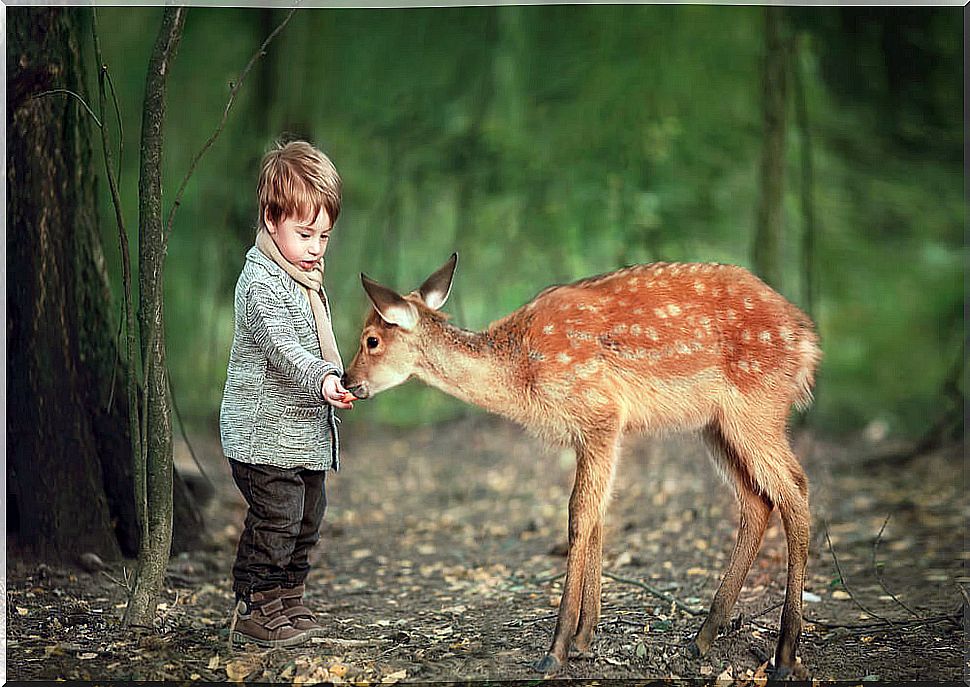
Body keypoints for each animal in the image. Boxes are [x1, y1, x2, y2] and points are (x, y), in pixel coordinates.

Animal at [340, 253, 816, 676]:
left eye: (371, 340)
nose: (347, 381)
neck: (521, 370)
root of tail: (808, 340)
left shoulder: (600, 412)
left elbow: (578, 514)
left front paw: (556, 650)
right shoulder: (588, 434)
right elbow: (598, 516)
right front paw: (585, 639)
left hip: (756, 405)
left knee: (795, 491)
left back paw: (784, 654)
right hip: (715, 424)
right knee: (757, 501)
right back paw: (702, 638)